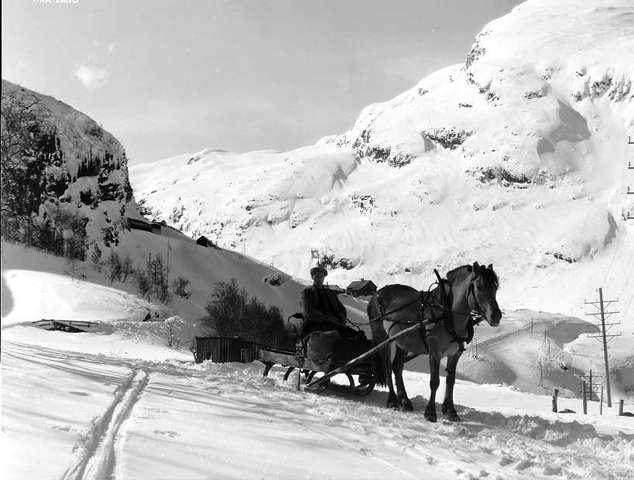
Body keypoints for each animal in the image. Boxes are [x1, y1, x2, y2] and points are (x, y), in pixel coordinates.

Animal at [366, 260, 498, 422]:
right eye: (479, 287)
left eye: (496, 286)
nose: (496, 316)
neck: (447, 315)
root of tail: (376, 295)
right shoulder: (435, 353)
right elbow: (434, 382)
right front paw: (430, 412)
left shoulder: (455, 354)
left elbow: (450, 380)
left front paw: (451, 411)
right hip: (383, 338)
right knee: (387, 365)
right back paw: (393, 400)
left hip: (402, 341)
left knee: (397, 367)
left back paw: (405, 401)